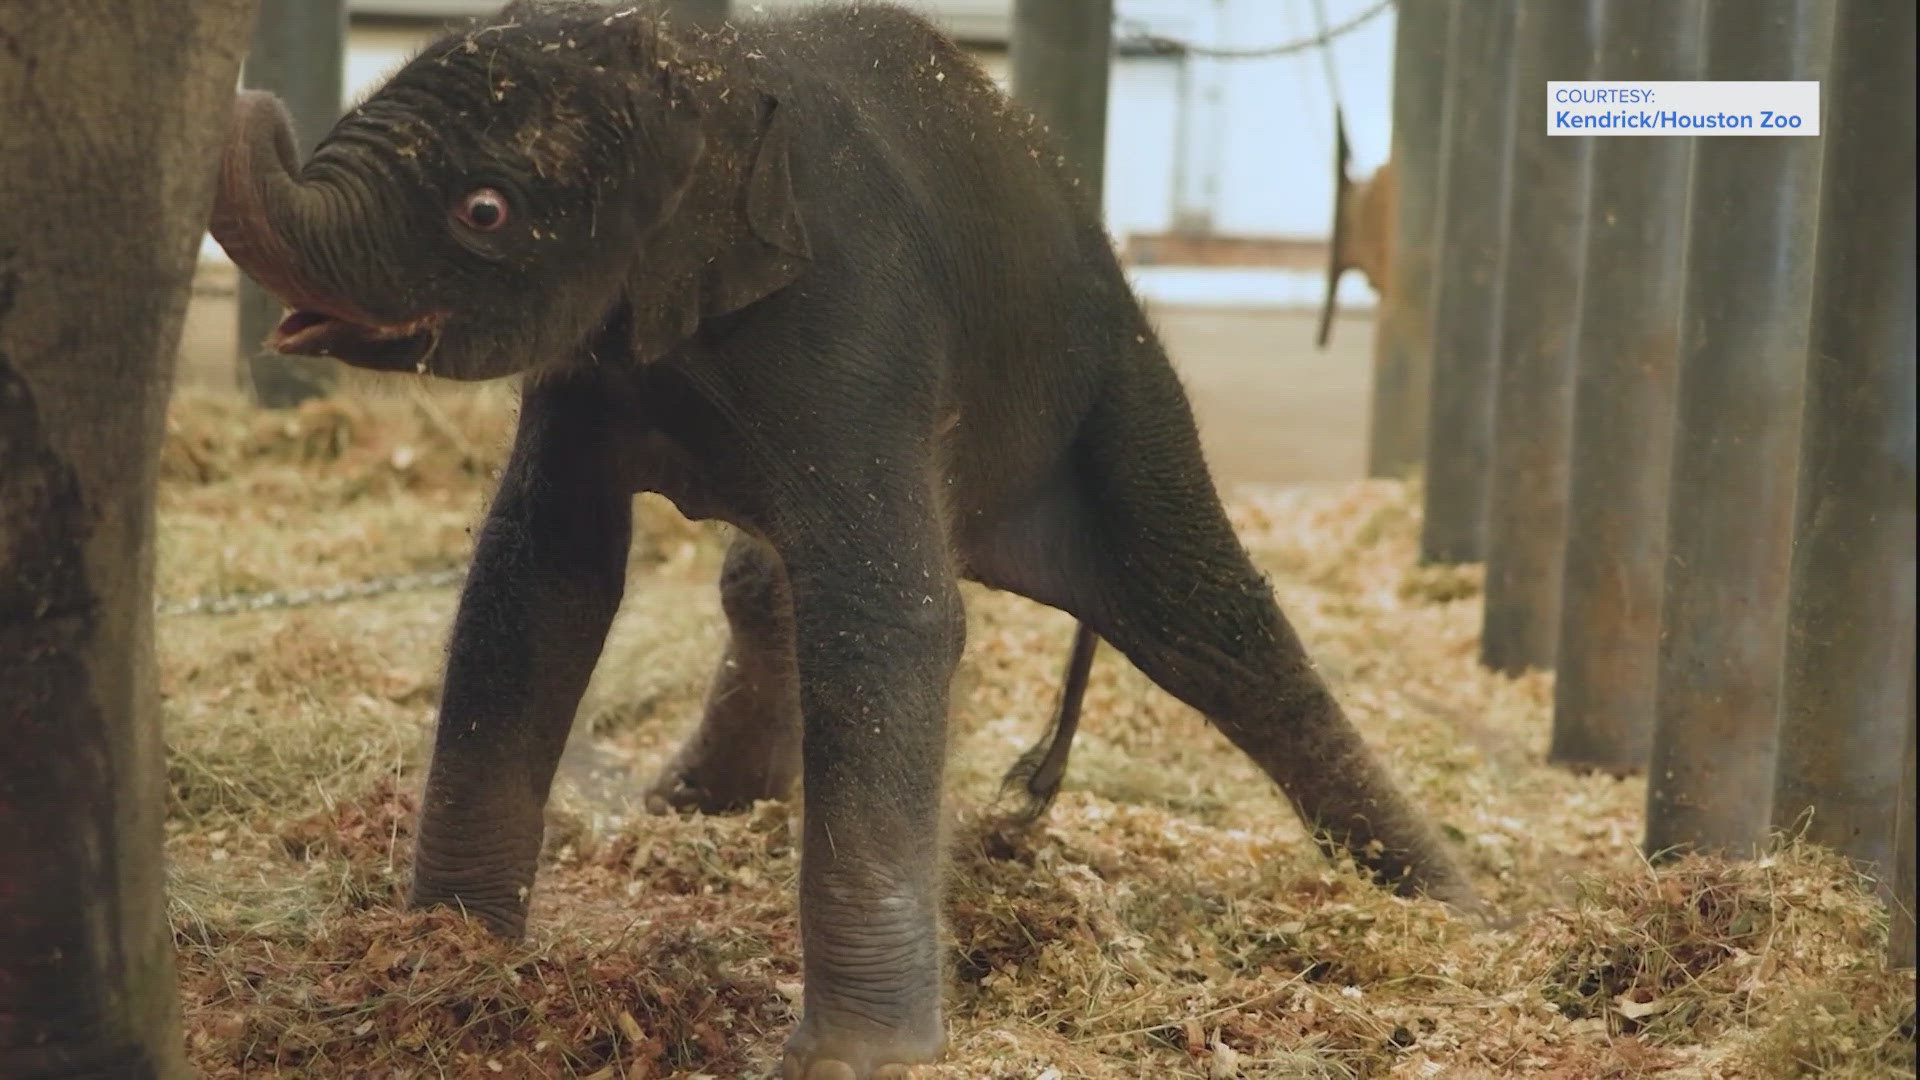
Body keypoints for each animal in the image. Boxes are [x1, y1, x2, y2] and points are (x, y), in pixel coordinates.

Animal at [206, 2, 1466, 1068]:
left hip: (1113, 381)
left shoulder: (857, 322)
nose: (252, 93)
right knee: (765, 586)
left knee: (1208, 620)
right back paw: (690, 805)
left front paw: (856, 1057)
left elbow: (887, 615)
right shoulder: (588, 368)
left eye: (485, 213)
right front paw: (449, 953)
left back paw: (1453, 907)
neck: (703, 68)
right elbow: (540, 577)